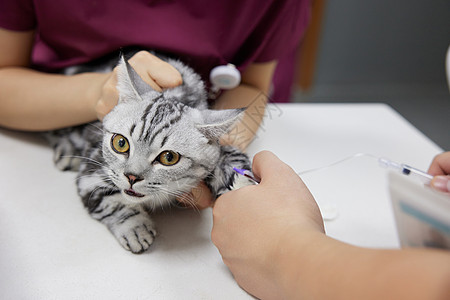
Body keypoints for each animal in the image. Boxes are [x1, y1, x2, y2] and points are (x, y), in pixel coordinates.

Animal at [45, 53, 253, 253]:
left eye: (169, 157)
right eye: (120, 143)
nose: (132, 176)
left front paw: (243, 189)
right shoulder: (92, 172)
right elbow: (113, 202)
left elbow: (233, 157)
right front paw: (136, 228)